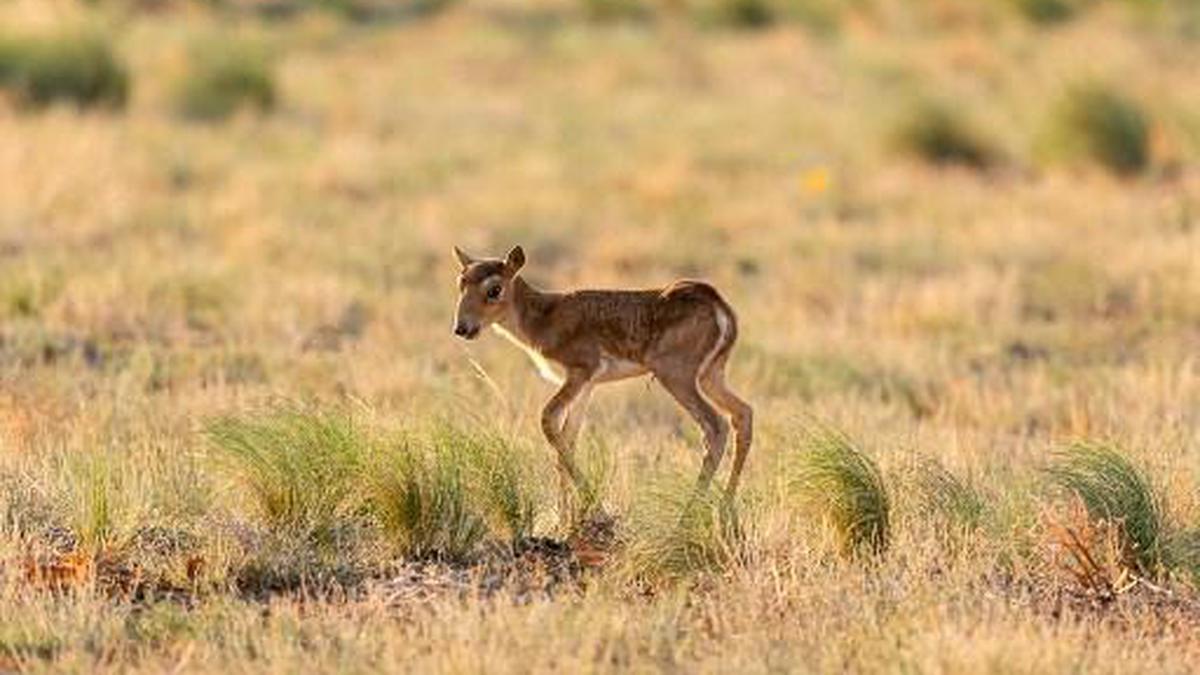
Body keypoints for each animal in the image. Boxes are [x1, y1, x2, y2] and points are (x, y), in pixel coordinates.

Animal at [453, 246, 753, 499]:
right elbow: (568, 439)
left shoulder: (579, 373)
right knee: (742, 414)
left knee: (715, 426)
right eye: (461, 283)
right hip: (711, 376)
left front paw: (591, 502)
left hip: (677, 377)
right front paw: (567, 519)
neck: (545, 316)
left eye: (494, 289)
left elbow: (548, 420)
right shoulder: (587, 386)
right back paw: (726, 509)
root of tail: (717, 304)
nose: (462, 328)